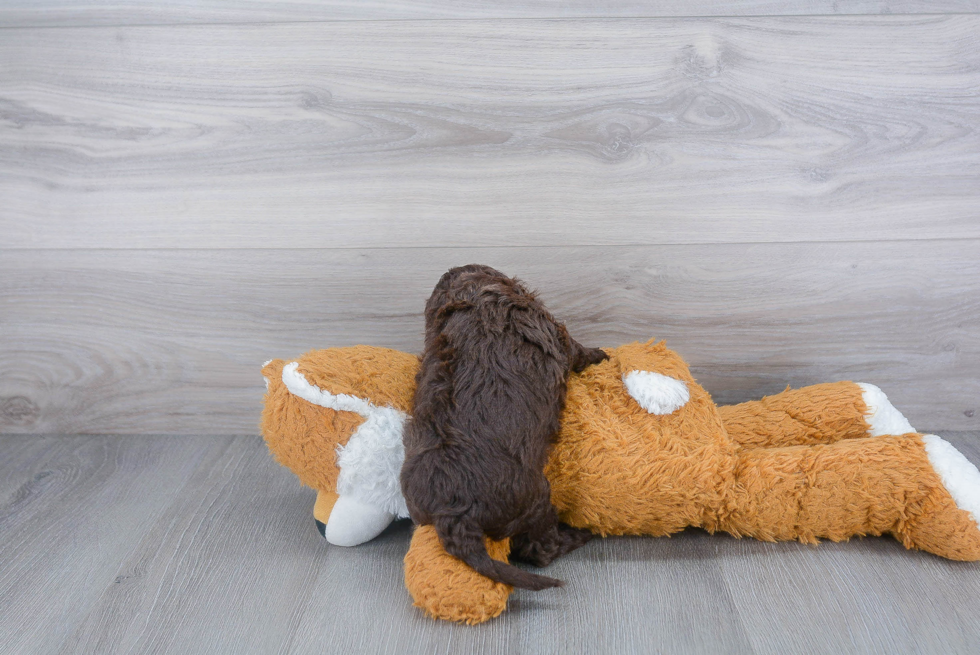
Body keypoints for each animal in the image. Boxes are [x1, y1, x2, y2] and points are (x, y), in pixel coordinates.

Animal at [398, 264, 604, 592]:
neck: (473, 299)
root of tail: (452, 516)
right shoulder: (555, 333)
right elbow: (578, 349)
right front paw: (601, 353)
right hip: (535, 499)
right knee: (540, 549)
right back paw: (579, 534)